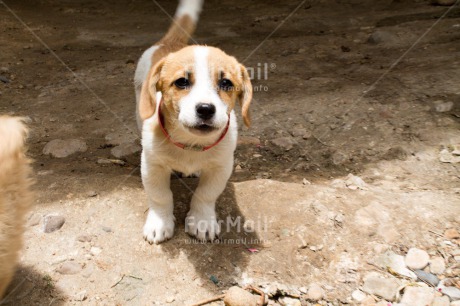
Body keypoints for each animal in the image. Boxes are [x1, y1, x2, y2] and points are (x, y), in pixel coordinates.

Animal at [135, 0, 253, 244]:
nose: (206, 109)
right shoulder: (152, 165)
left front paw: (202, 221)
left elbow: (205, 194)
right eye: (181, 82)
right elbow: (160, 196)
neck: (189, 144)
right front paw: (159, 223)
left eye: (226, 83)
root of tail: (171, 43)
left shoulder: (221, 166)